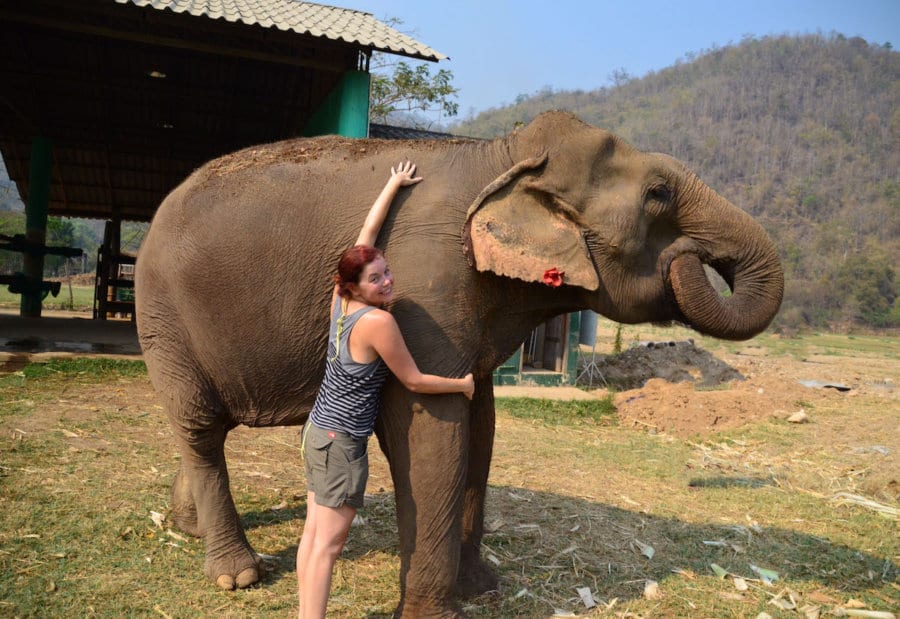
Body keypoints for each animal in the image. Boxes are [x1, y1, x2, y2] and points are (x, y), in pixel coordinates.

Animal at [134, 112, 780, 619]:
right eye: (659, 195)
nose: (689, 256)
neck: (502, 155)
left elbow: (482, 426)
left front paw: (483, 589)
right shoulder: (426, 286)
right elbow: (432, 427)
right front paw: (436, 612)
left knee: (200, 429)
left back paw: (188, 527)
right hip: (162, 314)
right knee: (200, 427)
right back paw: (237, 575)